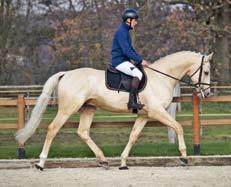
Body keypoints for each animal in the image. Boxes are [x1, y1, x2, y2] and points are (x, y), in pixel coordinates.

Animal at [15, 50, 213, 169]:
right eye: (206, 72)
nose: (208, 92)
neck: (161, 77)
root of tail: (66, 74)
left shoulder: (144, 115)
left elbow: (133, 136)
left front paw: (123, 162)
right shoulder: (157, 112)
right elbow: (178, 127)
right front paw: (184, 157)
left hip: (88, 108)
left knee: (83, 132)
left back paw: (103, 159)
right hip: (67, 109)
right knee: (52, 129)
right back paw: (41, 163)